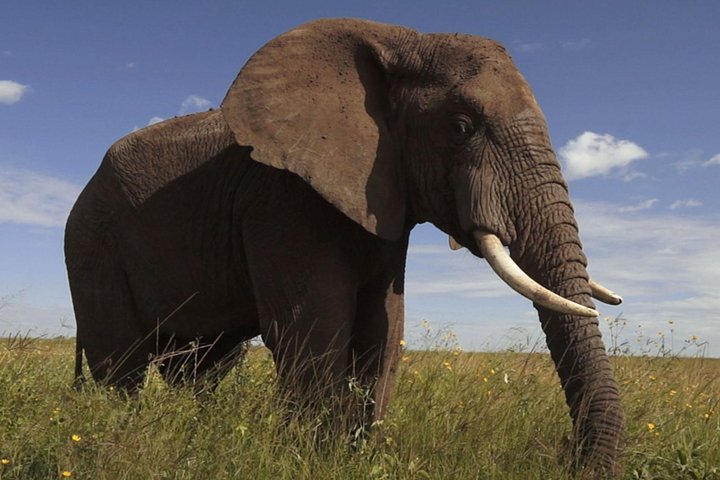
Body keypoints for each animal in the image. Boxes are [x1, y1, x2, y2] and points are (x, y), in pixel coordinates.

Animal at [65, 18, 624, 475]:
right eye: (461, 128)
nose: (569, 456)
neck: (401, 41)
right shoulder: (283, 202)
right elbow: (313, 331)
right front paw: (313, 460)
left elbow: (384, 329)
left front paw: (354, 457)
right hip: (92, 245)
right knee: (123, 365)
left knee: (204, 367)